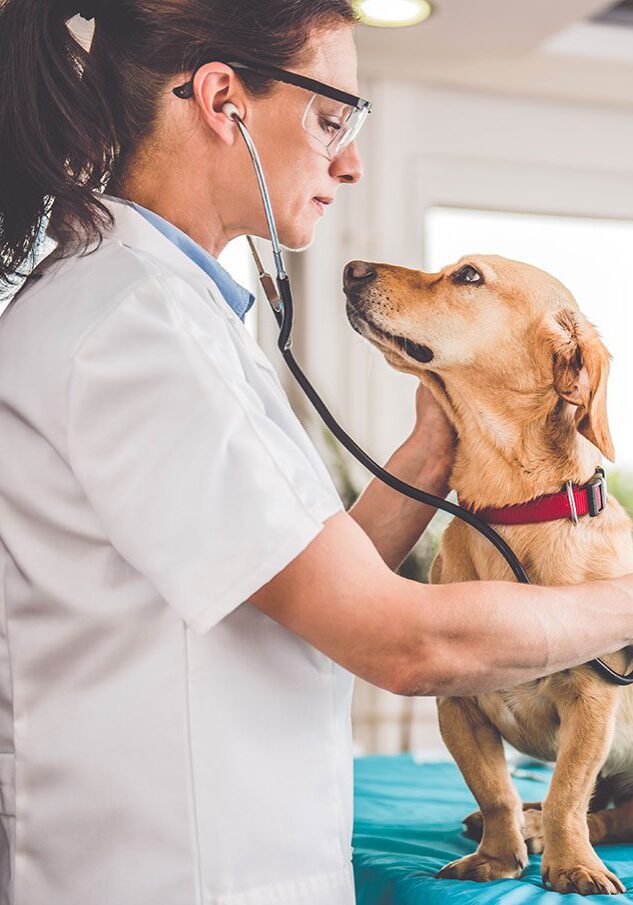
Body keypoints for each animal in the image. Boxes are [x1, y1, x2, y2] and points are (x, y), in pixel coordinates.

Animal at [344, 251, 632, 892]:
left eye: (469, 276)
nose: (350, 270)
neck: (512, 513)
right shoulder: (458, 707)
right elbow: (495, 790)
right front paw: (498, 857)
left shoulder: (593, 704)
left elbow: (568, 794)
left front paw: (572, 865)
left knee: (605, 817)